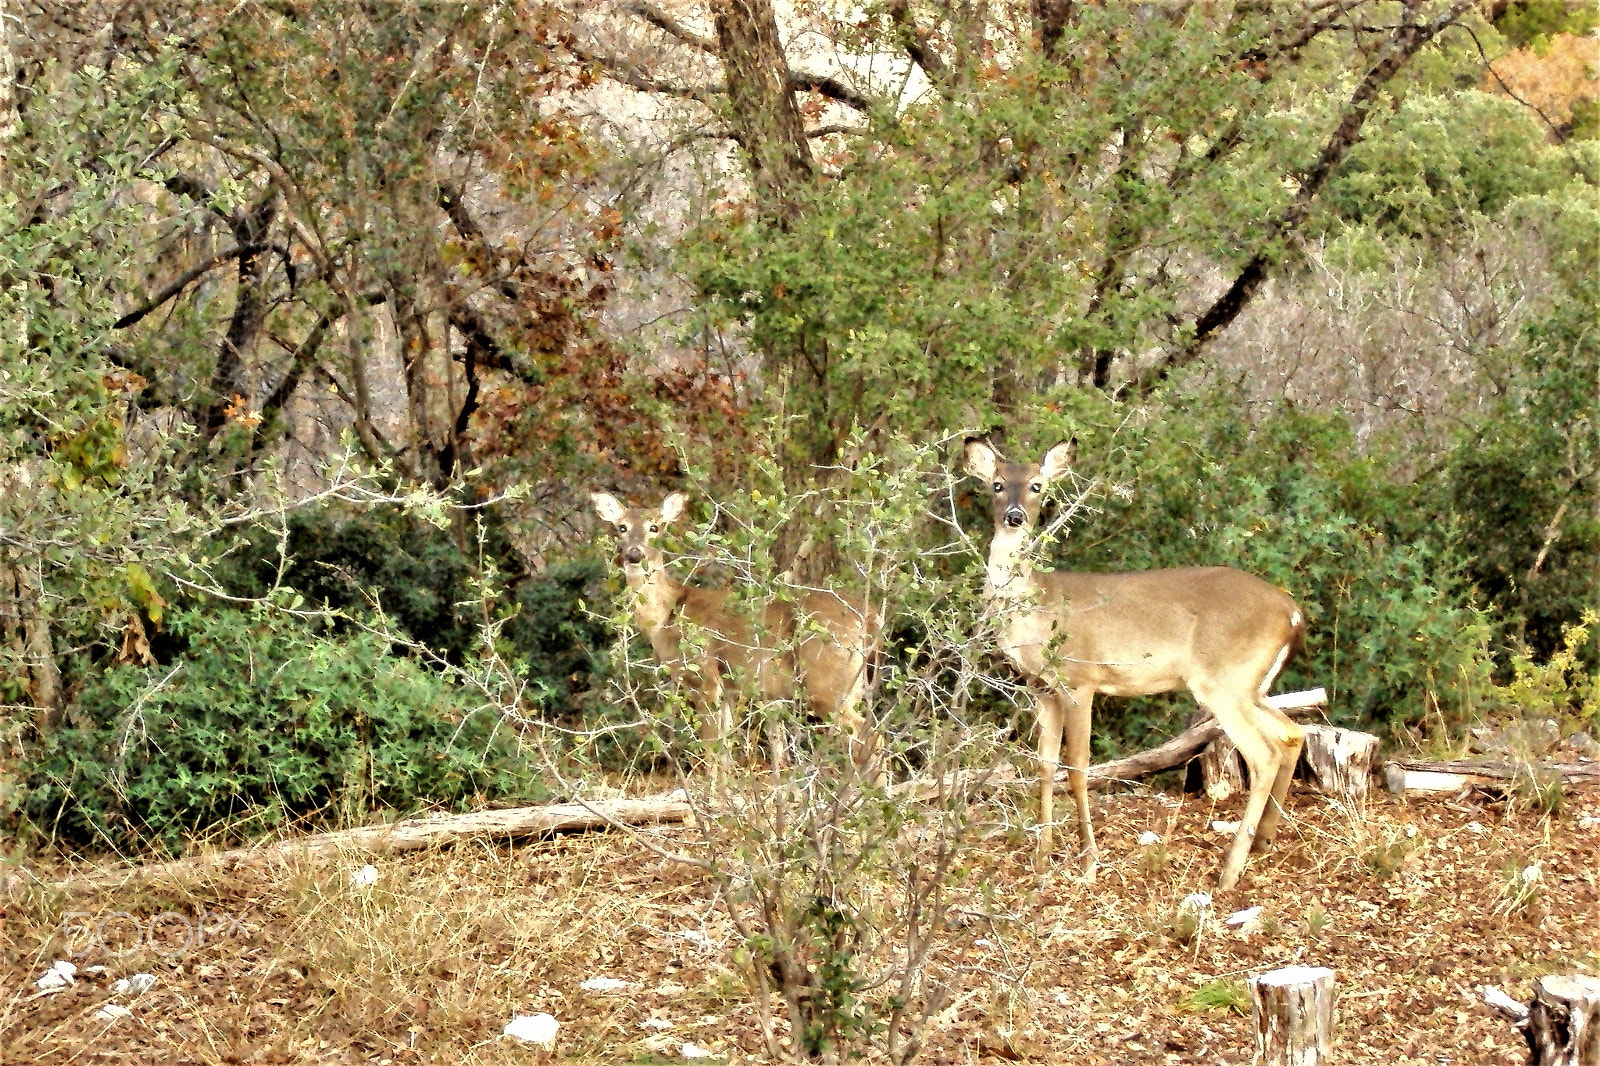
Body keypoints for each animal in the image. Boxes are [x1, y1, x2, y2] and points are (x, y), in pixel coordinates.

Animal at [592, 489, 883, 781]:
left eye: (655, 527)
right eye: (622, 527)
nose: (634, 553)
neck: (666, 616)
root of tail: (869, 616)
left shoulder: (705, 676)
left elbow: (710, 746)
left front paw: (709, 789)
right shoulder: (729, 688)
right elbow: (725, 746)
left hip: (826, 681)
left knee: (869, 736)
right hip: (853, 684)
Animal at [960, 435, 1299, 883]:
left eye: (1036, 486)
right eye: (997, 484)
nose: (1014, 517)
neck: (1038, 611)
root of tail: (1292, 611)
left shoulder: (1080, 678)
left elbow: (1079, 766)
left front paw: (1088, 860)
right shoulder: (1042, 688)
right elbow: (1045, 767)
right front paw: (1042, 858)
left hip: (1223, 682)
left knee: (1266, 753)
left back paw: (1229, 871)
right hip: (1251, 686)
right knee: (1292, 733)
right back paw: (1263, 841)